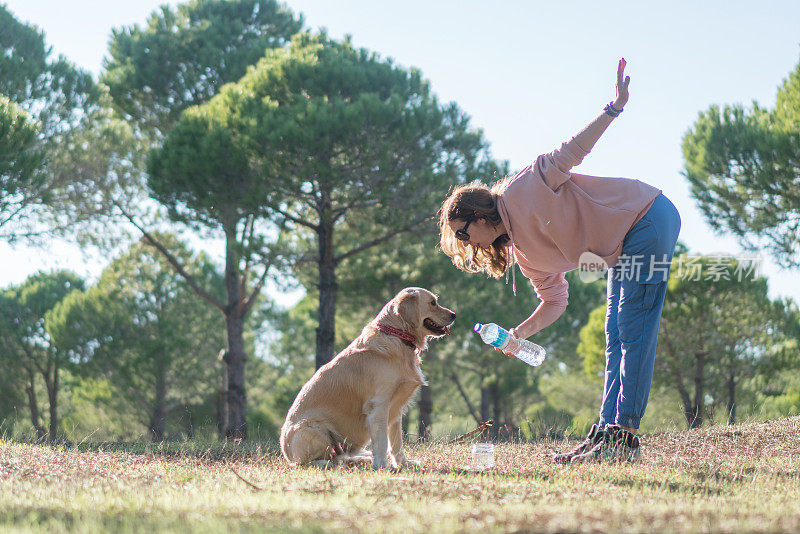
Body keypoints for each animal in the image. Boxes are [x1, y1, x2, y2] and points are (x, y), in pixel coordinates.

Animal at [282, 288, 456, 468]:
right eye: (433, 303)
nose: (454, 315)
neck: (398, 336)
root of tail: (287, 454)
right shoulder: (379, 405)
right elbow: (382, 442)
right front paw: (382, 466)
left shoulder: (396, 408)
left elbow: (396, 442)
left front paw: (403, 463)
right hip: (314, 430)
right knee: (308, 463)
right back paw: (328, 463)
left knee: (340, 457)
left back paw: (360, 458)